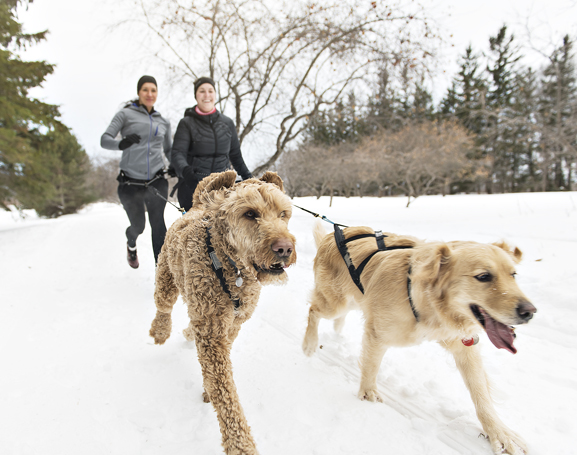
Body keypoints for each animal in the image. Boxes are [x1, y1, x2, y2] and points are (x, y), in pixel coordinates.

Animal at [151, 172, 294, 455]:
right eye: (250, 214)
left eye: (283, 214)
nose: (284, 248)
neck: (230, 266)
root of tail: (196, 206)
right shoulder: (211, 333)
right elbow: (224, 390)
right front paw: (240, 444)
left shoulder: (231, 325)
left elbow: (218, 370)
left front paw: (207, 388)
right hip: (166, 275)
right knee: (163, 304)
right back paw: (160, 330)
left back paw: (186, 332)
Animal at [302, 224, 536, 455]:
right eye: (484, 276)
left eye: (513, 275)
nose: (530, 311)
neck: (428, 303)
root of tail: (334, 234)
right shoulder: (377, 333)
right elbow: (371, 366)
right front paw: (367, 393)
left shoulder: (464, 346)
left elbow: (481, 395)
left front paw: (499, 432)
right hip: (335, 303)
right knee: (313, 310)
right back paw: (310, 344)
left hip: (350, 300)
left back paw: (337, 328)